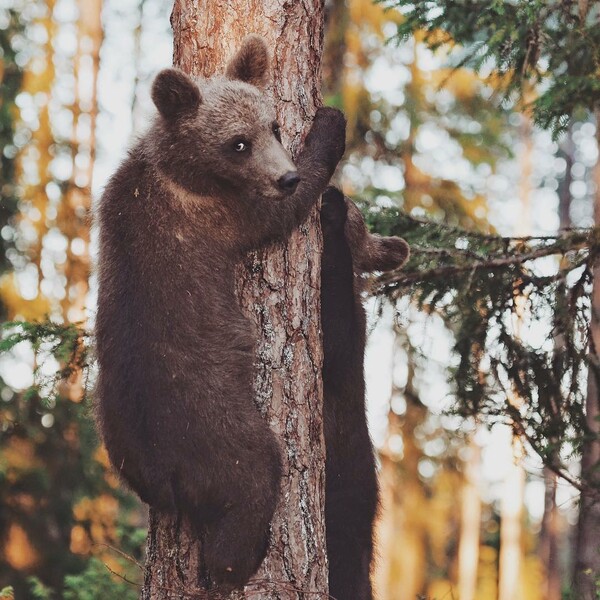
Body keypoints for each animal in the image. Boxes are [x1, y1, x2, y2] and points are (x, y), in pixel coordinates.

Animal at [95, 36, 344, 592]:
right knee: (253, 477)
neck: (180, 170)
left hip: (116, 435)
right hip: (217, 428)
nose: (286, 176)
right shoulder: (222, 214)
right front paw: (331, 125)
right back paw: (234, 564)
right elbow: (279, 214)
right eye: (238, 143)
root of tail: (163, 473)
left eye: (273, 126)